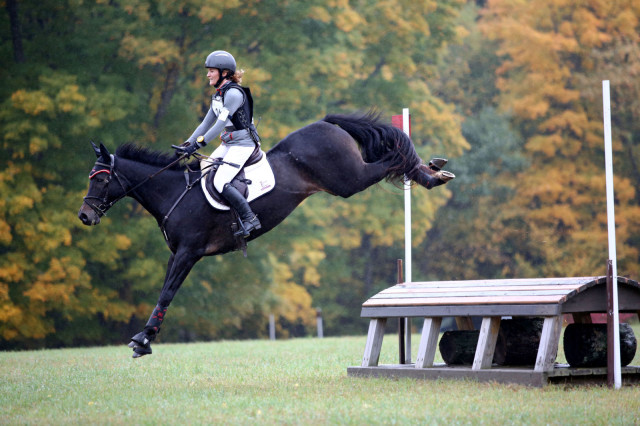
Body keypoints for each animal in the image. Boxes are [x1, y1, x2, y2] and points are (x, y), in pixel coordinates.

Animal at [79, 112, 456, 356]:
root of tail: (325, 123)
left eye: (101, 179)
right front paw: (144, 337)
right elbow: (164, 292)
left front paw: (143, 340)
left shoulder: (189, 253)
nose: (84, 215)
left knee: (393, 158)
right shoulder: (178, 253)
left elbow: (167, 292)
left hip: (348, 180)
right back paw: (433, 169)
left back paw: (432, 175)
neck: (174, 193)